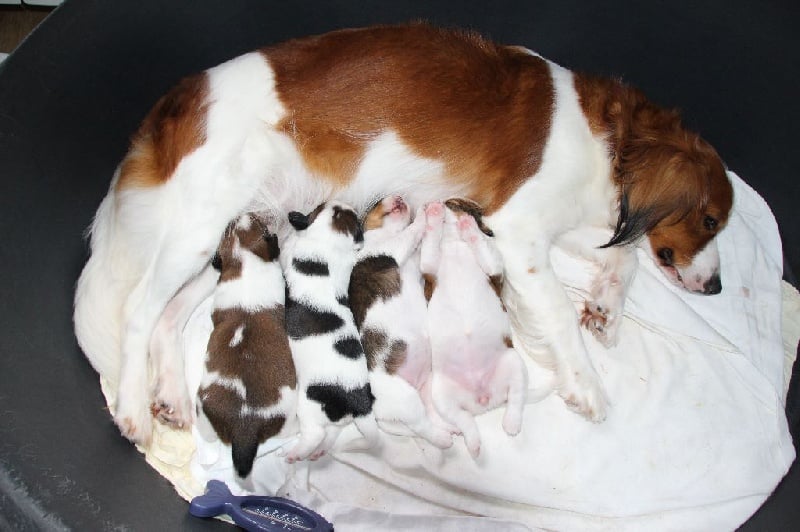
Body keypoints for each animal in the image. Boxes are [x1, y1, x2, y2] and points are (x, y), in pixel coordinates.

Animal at [282, 200, 380, 462]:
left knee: (315, 433)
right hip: (337, 419)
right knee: (332, 432)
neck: (329, 241)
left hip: (308, 404)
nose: (347, 205)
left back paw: (296, 453)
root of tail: (360, 404)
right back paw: (321, 450)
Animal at [352, 195, 456, 448]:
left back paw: (449, 428)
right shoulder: (392, 248)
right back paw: (442, 439)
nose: (399, 197)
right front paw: (426, 214)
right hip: (405, 399)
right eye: (376, 202)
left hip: (427, 386)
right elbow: (413, 231)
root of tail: (378, 412)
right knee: (422, 426)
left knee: (429, 416)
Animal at [422, 200, 528, 458]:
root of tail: (483, 399)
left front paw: (468, 226)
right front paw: (434, 217)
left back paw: (511, 423)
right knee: (464, 420)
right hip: (442, 394)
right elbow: (430, 241)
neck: (454, 245)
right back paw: (473, 442)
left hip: (513, 363)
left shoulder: (494, 266)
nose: (435, 203)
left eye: (453, 203)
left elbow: (481, 243)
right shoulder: (429, 264)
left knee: (516, 398)